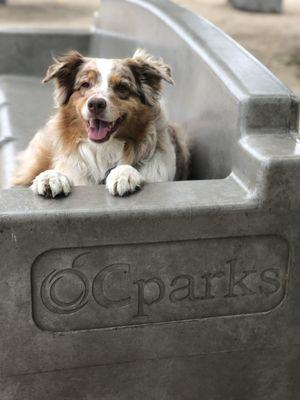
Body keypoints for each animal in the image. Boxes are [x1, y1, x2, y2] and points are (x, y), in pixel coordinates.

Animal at [12, 49, 190, 198]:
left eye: (122, 87)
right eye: (85, 84)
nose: (96, 104)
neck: (103, 150)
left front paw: (123, 173)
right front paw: (52, 176)